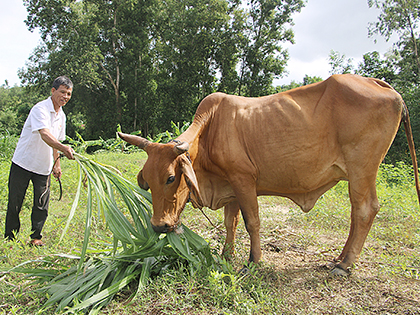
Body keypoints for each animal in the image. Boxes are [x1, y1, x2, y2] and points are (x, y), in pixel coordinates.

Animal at [119, 73, 420, 274]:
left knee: (364, 209)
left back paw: (345, 264)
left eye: (171, 178)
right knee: (361, 213)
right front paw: (226, 255)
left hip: (361, 170)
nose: (159, 226)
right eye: (146, 180)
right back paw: (340, 258)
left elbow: (252, 222)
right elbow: (231, 223)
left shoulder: (243, 180)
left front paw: (254, 261)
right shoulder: (231, 188)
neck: (210, 132)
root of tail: (382, 85)